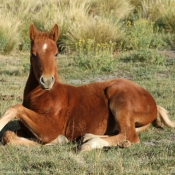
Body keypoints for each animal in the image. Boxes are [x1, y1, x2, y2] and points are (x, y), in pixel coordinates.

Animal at [0, 23, 175, 151]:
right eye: (33, 54)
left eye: (56, 53)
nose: (47, 81)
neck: (44, 95)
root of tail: (153, 103)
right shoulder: (28, 130)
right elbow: (8, 136)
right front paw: (59, 141)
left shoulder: (49, 128)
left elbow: (14, 109)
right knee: (121, 133)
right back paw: (88, 137)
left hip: (119, 100)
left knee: (129, 135)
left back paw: (90, 144)